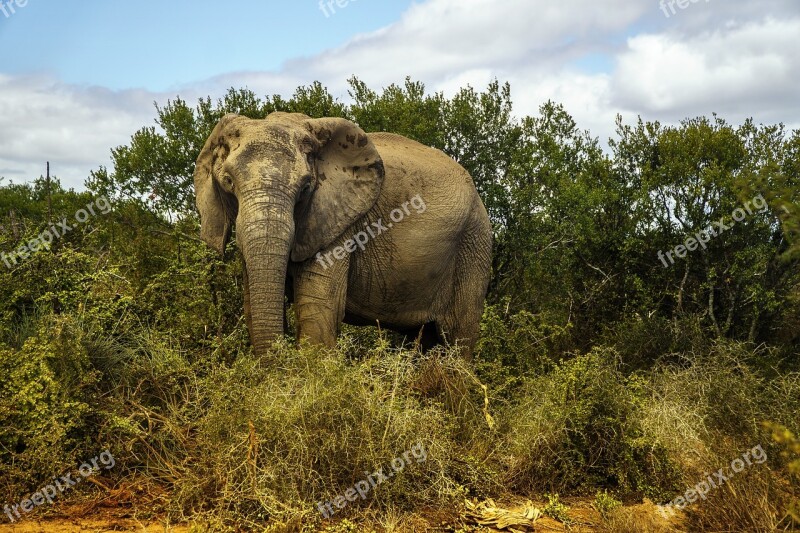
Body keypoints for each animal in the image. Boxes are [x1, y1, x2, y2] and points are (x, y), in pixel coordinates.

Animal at [195, 114, 494, 360]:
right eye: (228, 182)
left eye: (306, 188)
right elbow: (250, 305)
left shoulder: (337, 222)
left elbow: (318, 308)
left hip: (473, 243)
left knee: (458, 339)